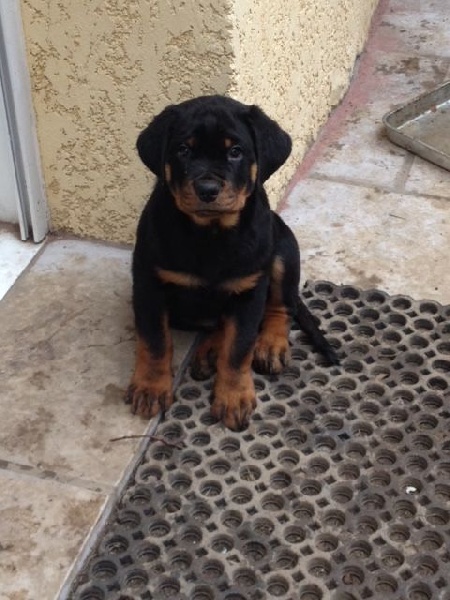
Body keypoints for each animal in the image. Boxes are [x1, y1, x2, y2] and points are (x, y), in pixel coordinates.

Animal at [126, 95, 339, 431]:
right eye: (183, 150)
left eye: (235, 151)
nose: (208, 190)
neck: (210, 234)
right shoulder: (150, 282)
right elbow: (155, 340)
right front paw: (150, 388)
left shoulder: (249, 289)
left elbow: (239, 348)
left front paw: (234, 397)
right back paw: (210, 349)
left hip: (283, 250)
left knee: (281, 307)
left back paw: (269, 345)